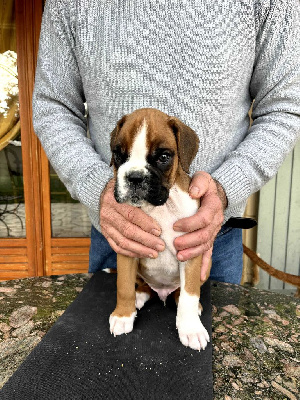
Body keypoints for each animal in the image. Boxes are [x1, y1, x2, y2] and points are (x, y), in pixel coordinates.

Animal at [108, 108, 211, 348]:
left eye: (163, 157)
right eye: (118, 154)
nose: (135, 177)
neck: (161, 207)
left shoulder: (190, 253)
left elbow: (190, 294)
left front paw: (191, 328)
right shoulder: (128, 250)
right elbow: (123, 285)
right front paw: (123, 315)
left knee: (181, 293)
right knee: (143, 286)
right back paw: (139, 296)